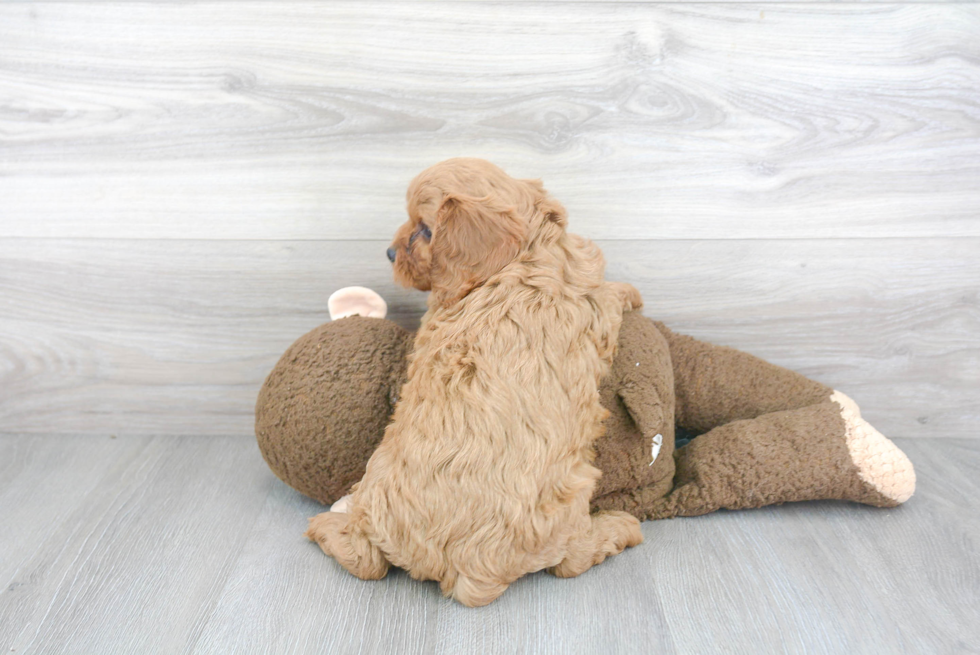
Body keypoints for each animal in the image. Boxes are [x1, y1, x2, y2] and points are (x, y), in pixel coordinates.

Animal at [306, 156, 644, 608]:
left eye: (424, 229)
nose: (390, 252)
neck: (518, 261)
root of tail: (464, 572)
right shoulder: (592, 302)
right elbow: (610, 294)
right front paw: (631, 291)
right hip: (569, 503)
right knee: (571, 562)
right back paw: (620, 527)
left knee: (364, 559)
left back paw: (329, 521)